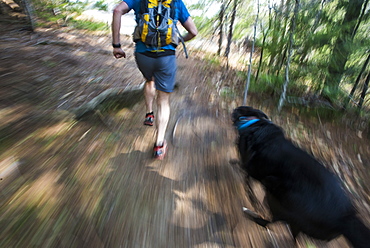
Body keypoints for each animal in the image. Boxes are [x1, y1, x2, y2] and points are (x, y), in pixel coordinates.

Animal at [233, 106, 368, 248]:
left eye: (241, 110)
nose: (235, 109)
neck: (253, 122)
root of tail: (346, 218)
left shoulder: (252, 169)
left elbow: (247, 179)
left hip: (277, 196)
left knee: (269, 222)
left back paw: (250, 213)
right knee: (290, 233)